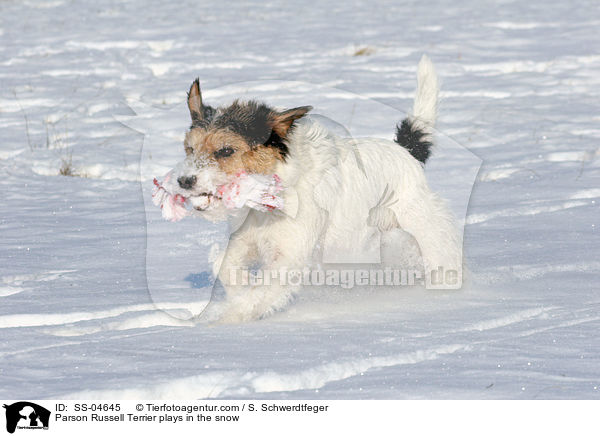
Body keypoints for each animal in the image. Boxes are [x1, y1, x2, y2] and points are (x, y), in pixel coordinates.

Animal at [173, 55, 464, 320]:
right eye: (190, 148)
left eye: (226, 150)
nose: (184, 181)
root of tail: (406, 152)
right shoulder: (245, 240)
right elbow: (227, 267)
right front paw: (238, 291)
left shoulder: (290, 253)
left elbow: (261, 291)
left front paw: (230, 319)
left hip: (425, 228)